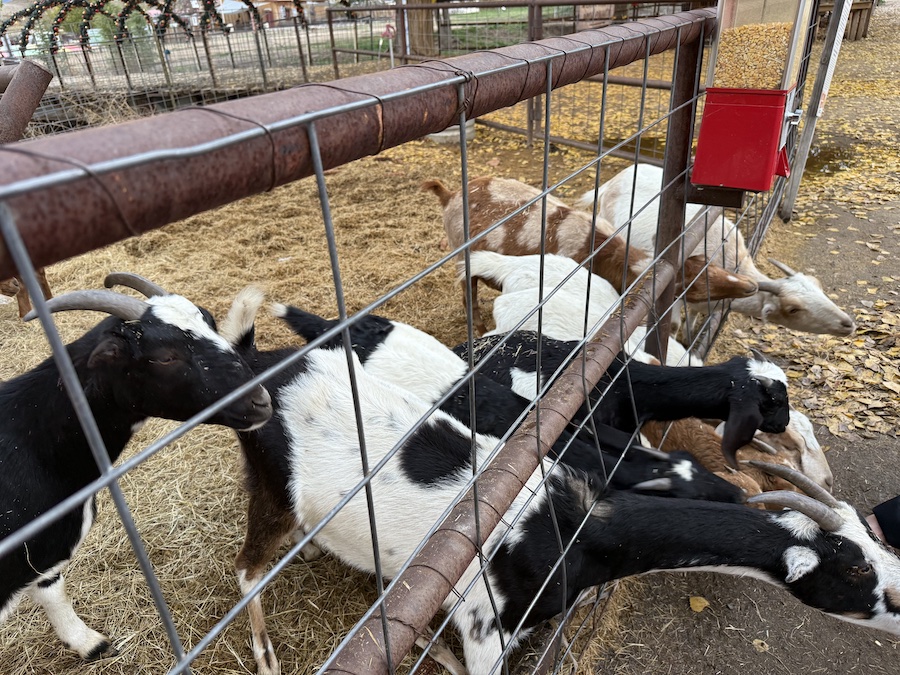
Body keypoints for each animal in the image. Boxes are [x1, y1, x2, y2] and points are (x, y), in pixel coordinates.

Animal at [0, 273, 272, 661]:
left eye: (211, 323)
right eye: (165, 357)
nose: (260, 401)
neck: (33, 439)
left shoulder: (42, 554)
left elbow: (52, 589)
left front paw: (88, 643)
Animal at [423, 177, 758, 336]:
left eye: (707, 264)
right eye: (697, 287)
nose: (751, 286)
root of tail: (448, 194)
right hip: (459, 252)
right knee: (467, 292)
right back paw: (478, 329)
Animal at [576, 164, 856, 336]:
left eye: (818, 286)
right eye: (793, 308)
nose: (848, 324)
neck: (730, 263)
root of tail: (613, 180)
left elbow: (692, 321)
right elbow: (674, 325)